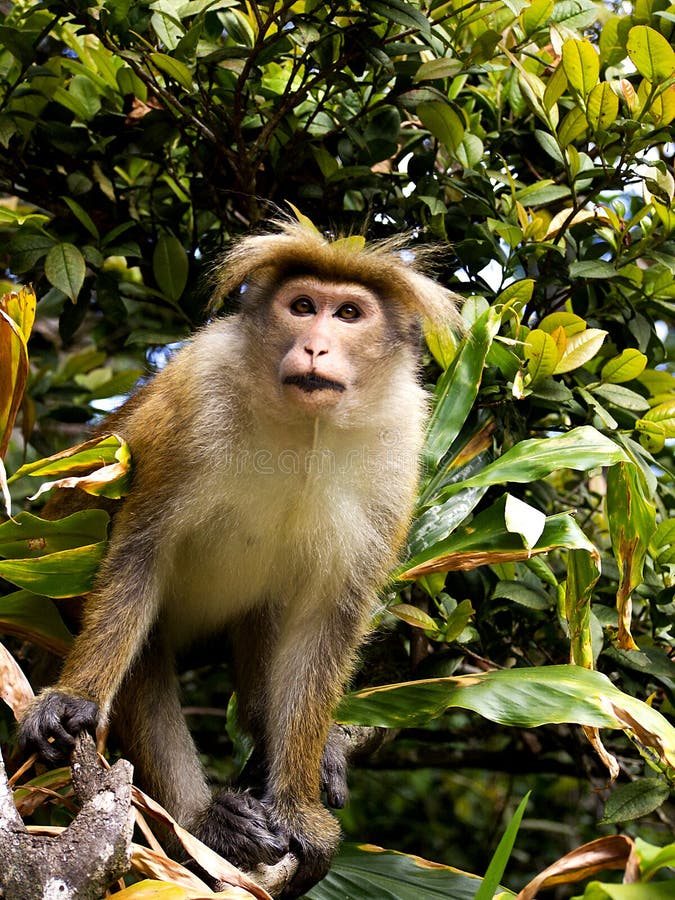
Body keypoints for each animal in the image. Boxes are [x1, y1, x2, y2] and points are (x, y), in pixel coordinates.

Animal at [19, 219, 461, 898]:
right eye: (302, 306)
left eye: (349, 313)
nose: (315, 347)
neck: (302, 432)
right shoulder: (196, 397)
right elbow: (140, 555)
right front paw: (74, 700)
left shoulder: (397, 447)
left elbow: (325, 620)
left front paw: (298, 806)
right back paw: (206, 827)